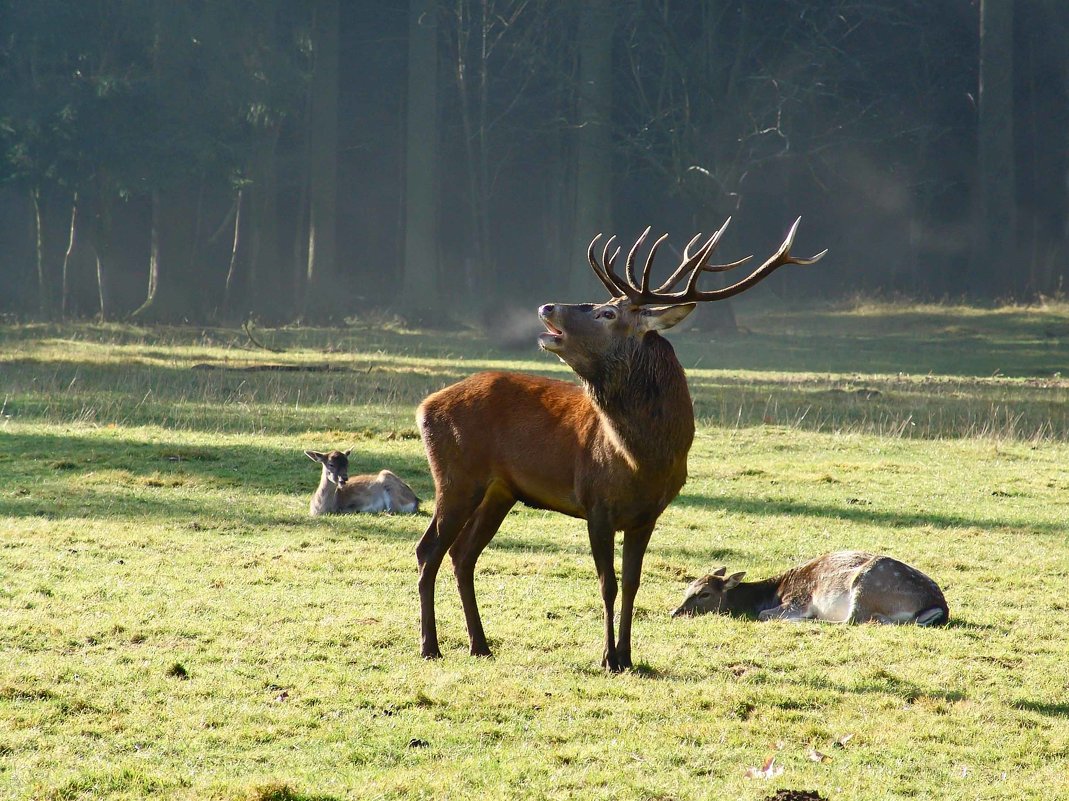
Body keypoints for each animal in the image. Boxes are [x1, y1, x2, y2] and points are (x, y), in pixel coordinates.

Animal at [416, 217, 825, 667]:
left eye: (607, 311)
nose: (548, 307)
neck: (643, 462)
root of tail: (425, 405)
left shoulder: (648, 515)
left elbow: (632, 583)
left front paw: (626, 657)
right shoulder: (596, 505)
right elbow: (607, 584)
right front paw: (606, 657)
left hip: (499, 491)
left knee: (462, 554)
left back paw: (480, 644)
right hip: (456, 476)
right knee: (428, 549)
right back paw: (430, 646)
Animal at [671, 551, 949, 624]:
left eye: (704, 594)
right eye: (687, 588)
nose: (675, 612)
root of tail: (939, 606)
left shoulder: (797, 601)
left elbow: (764, 614)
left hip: (867, 584)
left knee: (855, 619)